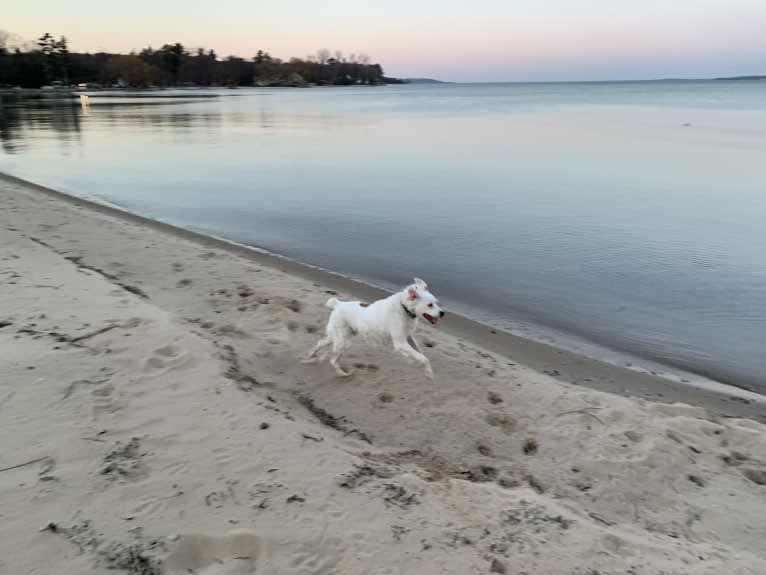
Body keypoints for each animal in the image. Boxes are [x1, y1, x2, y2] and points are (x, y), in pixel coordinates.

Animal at [306, 280, 448, 378]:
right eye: (430, 305)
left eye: (436, 302)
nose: (442, 313)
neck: (404, 308)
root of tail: (338, 304)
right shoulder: (400, 342)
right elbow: (423, 358)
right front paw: (428, 373)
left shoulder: (408, 338)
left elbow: (419, 353)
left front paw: (417, 364)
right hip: (343, 342)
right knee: (332, 360)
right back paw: (344, 374)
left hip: (338, 337)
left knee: (320, 343)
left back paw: (310, 356)